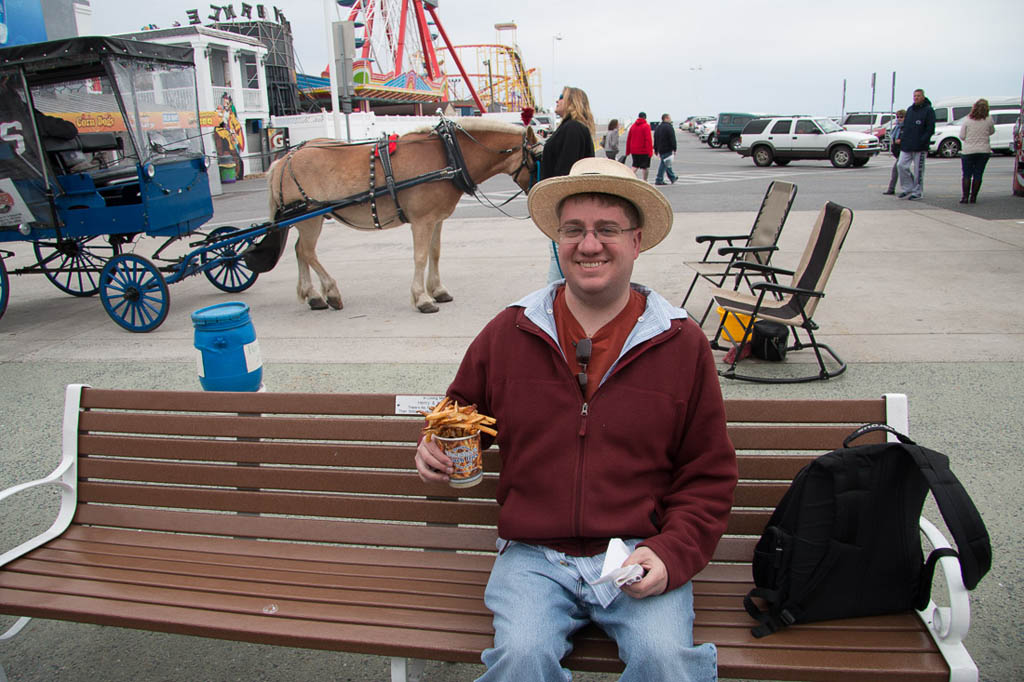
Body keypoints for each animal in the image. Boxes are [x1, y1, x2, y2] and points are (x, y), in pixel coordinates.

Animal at [264, 120, 540, 313]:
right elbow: (420, 256)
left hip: (305, 219)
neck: (448, 155)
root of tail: (283, 160)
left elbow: (435, 253)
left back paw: (313, 295)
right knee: (307, 252)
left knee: (300, 251)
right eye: (538, 156)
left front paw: (437, 290)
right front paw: (422, 298)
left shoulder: (436, 219)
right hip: (309, 218)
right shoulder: (421, 220)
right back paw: (330, 292)